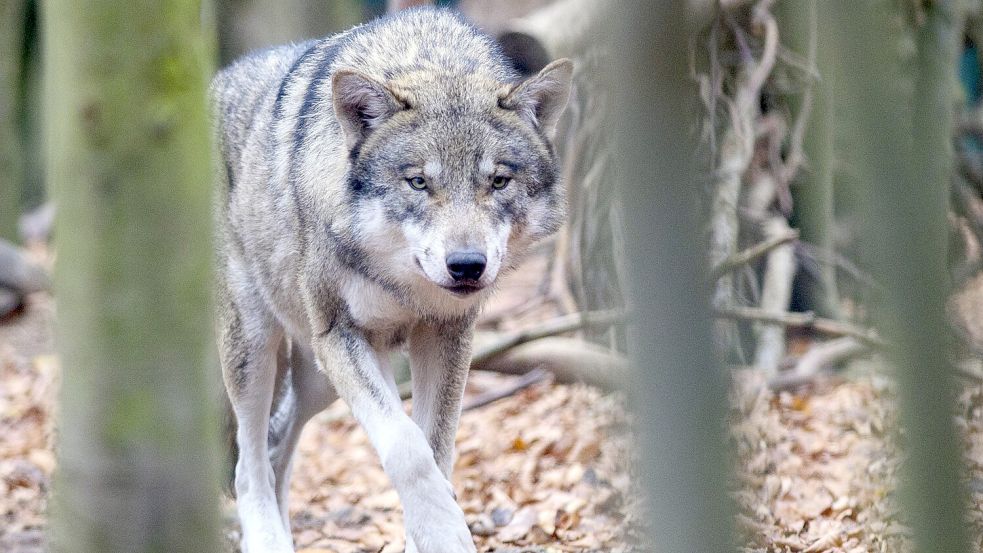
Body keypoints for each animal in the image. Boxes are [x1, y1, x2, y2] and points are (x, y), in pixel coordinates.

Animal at [211, 8, 572, 552]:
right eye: (418, 182)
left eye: (498, 181)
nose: (467, 265)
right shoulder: (341, 336)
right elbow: (406, 447)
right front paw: (445, 534)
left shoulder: (446, 335)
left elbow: (436, 448)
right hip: (258, 347)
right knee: (248, 463)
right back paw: (267, 538)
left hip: (316, 379)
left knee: (278, 451)